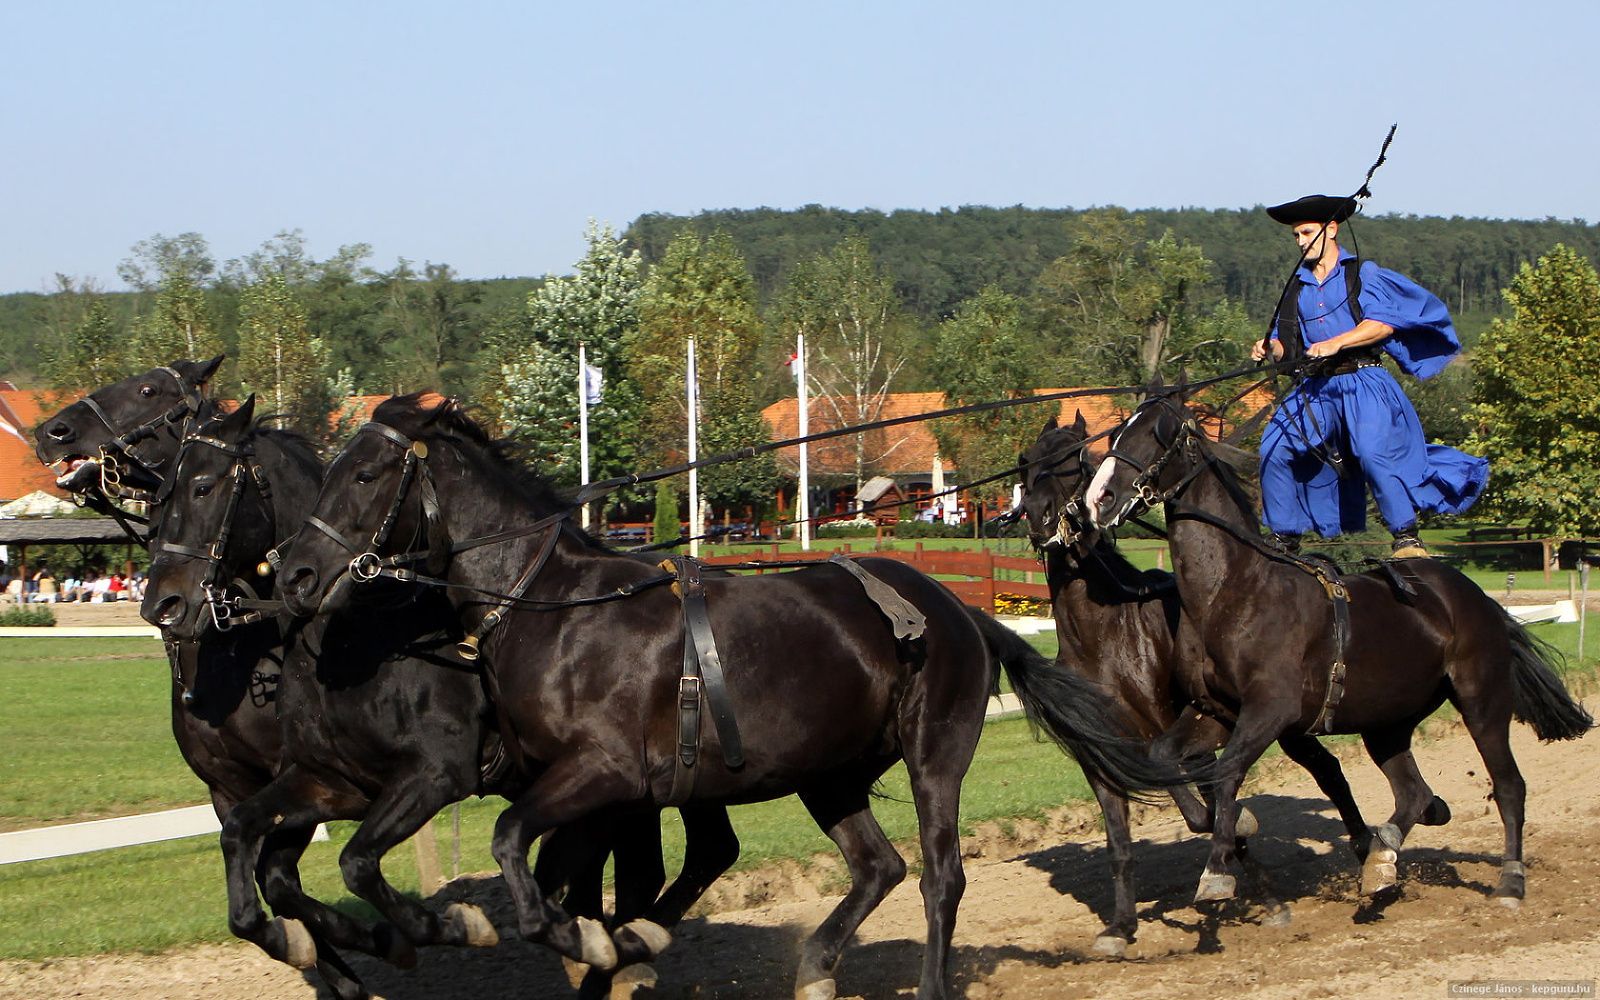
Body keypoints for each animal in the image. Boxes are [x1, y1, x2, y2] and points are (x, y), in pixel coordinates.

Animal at [278, 393, 1190, 992]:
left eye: (364, 474)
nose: (295, 573)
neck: (557, 610)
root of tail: (959, 611)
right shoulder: (583, 790)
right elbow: (533, 871)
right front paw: (593, 937)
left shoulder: (605, 775)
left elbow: (513, 851)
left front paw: (587, 941)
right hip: (830, 773)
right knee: (881, 867)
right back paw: (816, 965)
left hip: (934, 758)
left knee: (940, 877)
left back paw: (925, 979)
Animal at [1081, 390, 1593, 902]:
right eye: (1117, 432)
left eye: (1157, 434)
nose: (1099, 499)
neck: (1232, 589)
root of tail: (1476, 597)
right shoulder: (1216, 710)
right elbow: (1164, 757)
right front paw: (1220, 825)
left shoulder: (1270, 711)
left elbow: (1227, 775)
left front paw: (1217, 869)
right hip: (1386, 721)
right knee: (1414, 793)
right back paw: (1382, 857)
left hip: (1481, 701)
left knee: (1508, 785)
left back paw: (1509, 879)